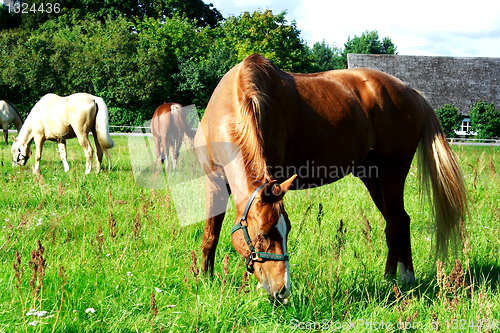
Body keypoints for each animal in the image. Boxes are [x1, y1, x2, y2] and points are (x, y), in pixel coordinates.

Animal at [193, 53, 466, 302]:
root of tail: (414, 94)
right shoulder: (214, 182)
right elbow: (210, 236)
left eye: (286, 230)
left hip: (392, 173)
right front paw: (205, 279)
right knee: (401, 220)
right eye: (262, 234)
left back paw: (390, 280)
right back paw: (406, 277)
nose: (282, 291)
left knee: (395, 225)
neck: (232, 104)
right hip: (372, 177)